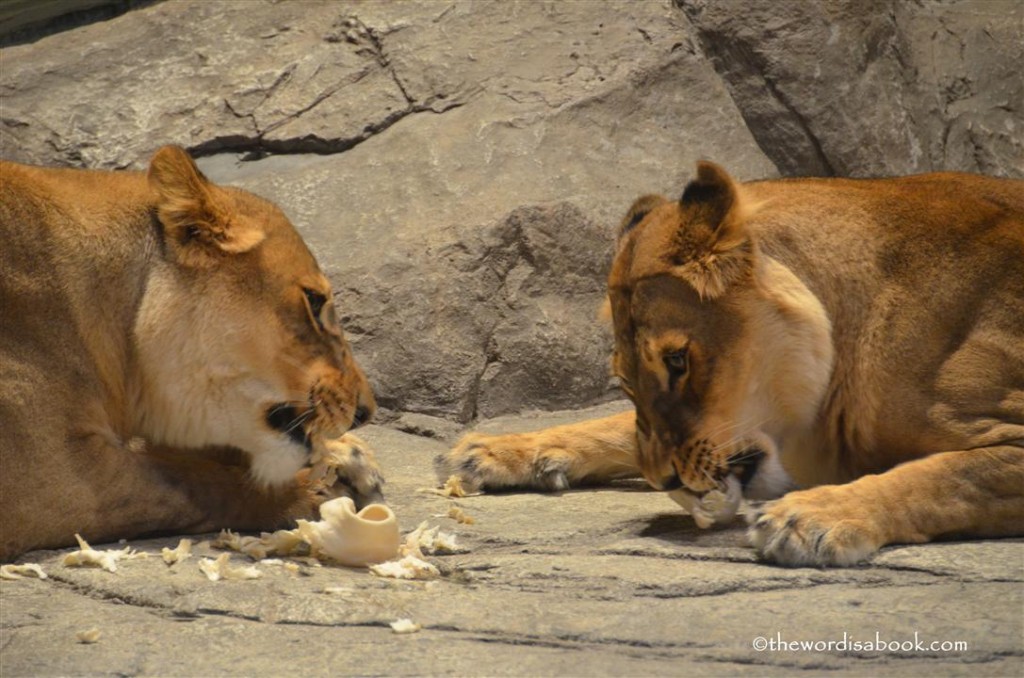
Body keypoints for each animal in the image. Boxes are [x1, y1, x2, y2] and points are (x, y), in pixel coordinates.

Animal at [0, 146, 380, 561]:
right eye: (313, 301)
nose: (366, 412)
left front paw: (348, 457)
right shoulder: (52, 477)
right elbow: (192, 482)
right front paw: (317, 489)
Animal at [440, 160, 1024, 569]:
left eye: (678, 360)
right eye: (627, 382)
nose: (664, 481)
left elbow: (944, 476)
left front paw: (813, 516)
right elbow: (622, 427)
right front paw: (499, 450)